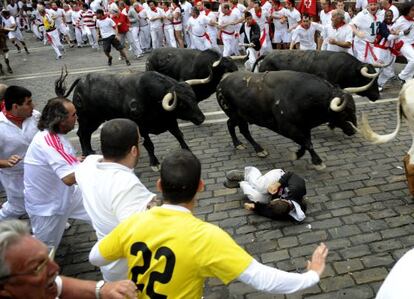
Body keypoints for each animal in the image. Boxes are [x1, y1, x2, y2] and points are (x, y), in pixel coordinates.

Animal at [55, 68, 205, 171]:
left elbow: (179, 135)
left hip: (96, 120)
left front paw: (188, 152)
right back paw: (86, 153)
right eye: (182, 104)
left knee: (86, 134)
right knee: (81, 133)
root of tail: (81, 79)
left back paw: (91, 151)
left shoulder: (170, 121)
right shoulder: (141, 126)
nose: (201, 118)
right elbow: (149, 144)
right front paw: (154, 163)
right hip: (86, 118)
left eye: (194, 98)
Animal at [217, 69, 356, 169]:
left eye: (354, 109)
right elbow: (308, 143)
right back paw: (258, 149)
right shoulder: (287, 129)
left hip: (239, 117)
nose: (354, 131)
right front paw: (317, 162)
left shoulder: (304, 127)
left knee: (231, 124)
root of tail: (222, 81)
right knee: (243, 130)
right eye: (344, 113)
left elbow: (305, 143)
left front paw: (297, 154)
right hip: (237, 116)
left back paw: (239, 144)